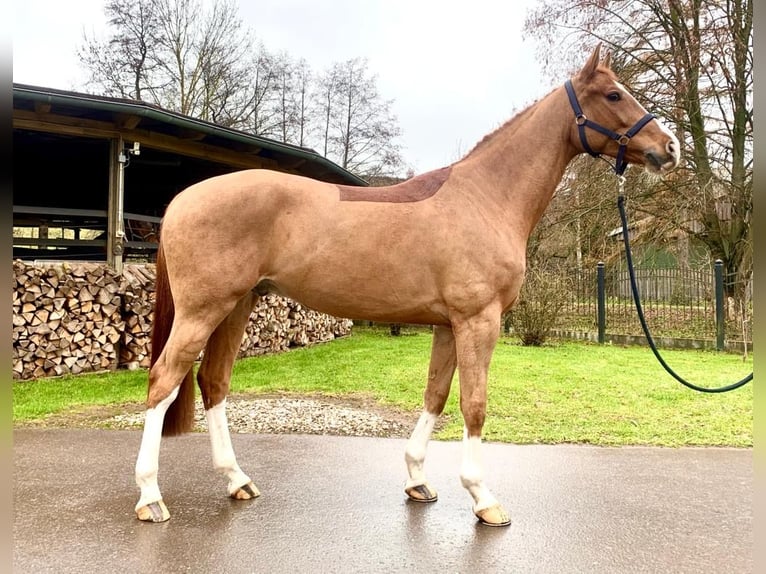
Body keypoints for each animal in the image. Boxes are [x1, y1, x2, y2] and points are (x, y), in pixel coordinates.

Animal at [134, 44, 679, 527]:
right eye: (613, 94)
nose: (668, 147)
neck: (485, 198)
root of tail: (183, 199)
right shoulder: (478, 321)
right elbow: (474, 403)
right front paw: (483, 498)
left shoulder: (447, 325)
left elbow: (436, 394)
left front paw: (418, 479)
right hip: (204, 309)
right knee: (164, 381)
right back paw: (150, 497)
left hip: (237, 306)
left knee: (214, 382)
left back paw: (236, 480)